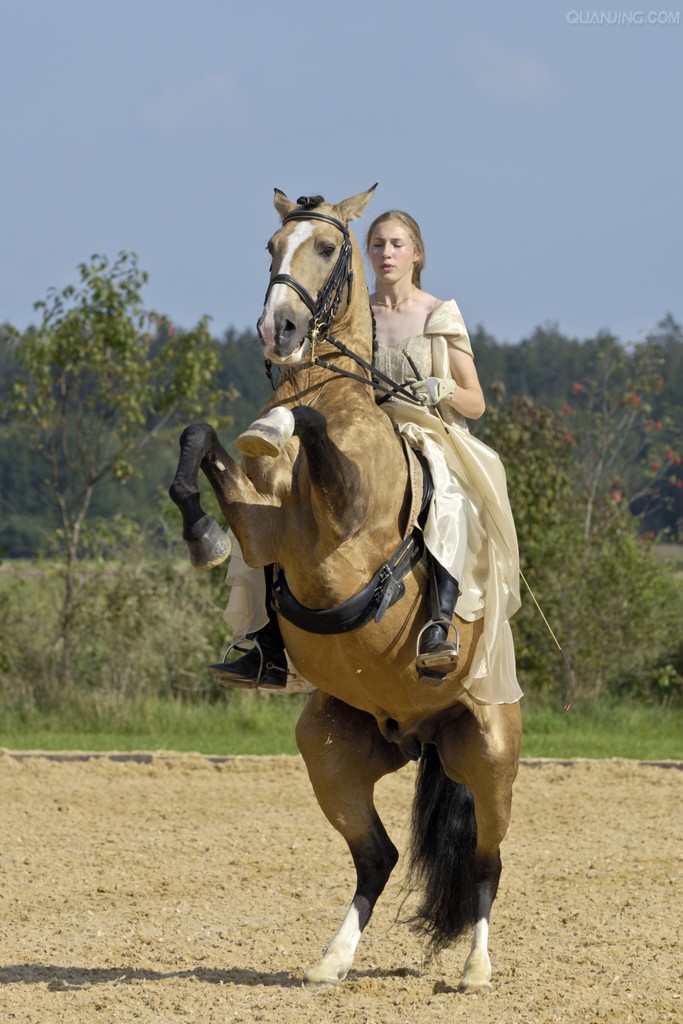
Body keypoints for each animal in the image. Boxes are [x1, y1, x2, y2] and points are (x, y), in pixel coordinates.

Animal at [169, 186, 522, 993]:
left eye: (327, 249)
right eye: (271, 246)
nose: (278, 329)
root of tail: (418, 731)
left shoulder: (347, 523)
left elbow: (305, 425)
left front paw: (276, 422)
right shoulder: (261, 528)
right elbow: (200, 441)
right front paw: (203, 533)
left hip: (490, 749)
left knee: (486, 862)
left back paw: (475, 970)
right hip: (329, 748)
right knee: (378, 857)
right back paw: (331, 960)